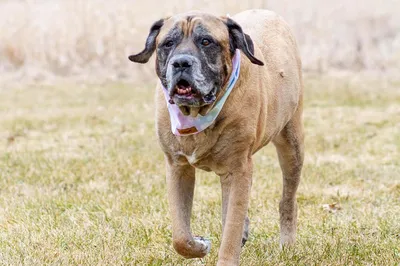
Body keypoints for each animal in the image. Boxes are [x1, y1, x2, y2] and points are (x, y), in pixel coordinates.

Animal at [130, 9, 304, 264]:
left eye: (206, 41)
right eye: (168, 43)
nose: (181, 62)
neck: (196, 114)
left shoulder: (238, 168)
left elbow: (231, 229)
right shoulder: (177, 167)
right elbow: (180, 235)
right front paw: (199, 245)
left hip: (291, 144)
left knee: (287, 198)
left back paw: (287, 243)